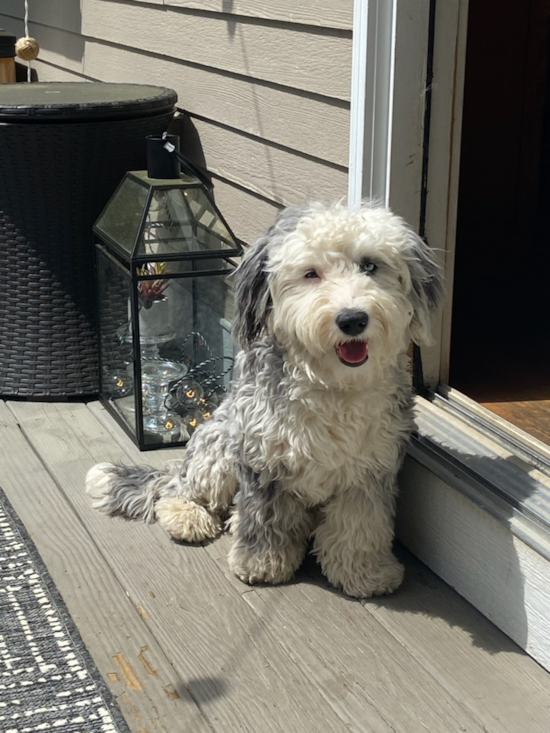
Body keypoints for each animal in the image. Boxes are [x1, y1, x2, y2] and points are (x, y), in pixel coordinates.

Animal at [87, 199, 448, 596]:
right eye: (311, 273)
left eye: (370, 265)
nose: (352, 319)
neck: (331, 385)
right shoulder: (263, 461)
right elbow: (265, 519)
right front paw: (261, 564)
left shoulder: (370, 468)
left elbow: (361, 525)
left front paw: (365, 573)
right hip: (217, 445)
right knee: (178, 489)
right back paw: (190, 516)